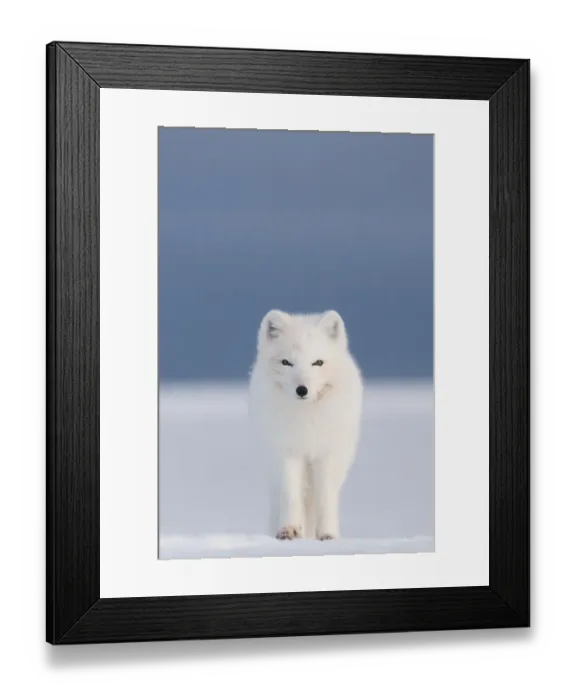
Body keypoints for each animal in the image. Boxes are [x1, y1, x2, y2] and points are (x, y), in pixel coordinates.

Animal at [248, 309, 363, 541]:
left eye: (317, 362)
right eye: (286, 362)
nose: (302, 389)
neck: (306, 421)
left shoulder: (326, 456)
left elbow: (325, 498)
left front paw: (327, 534)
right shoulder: (287, 453)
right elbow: (291, 495)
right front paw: (289, 530)